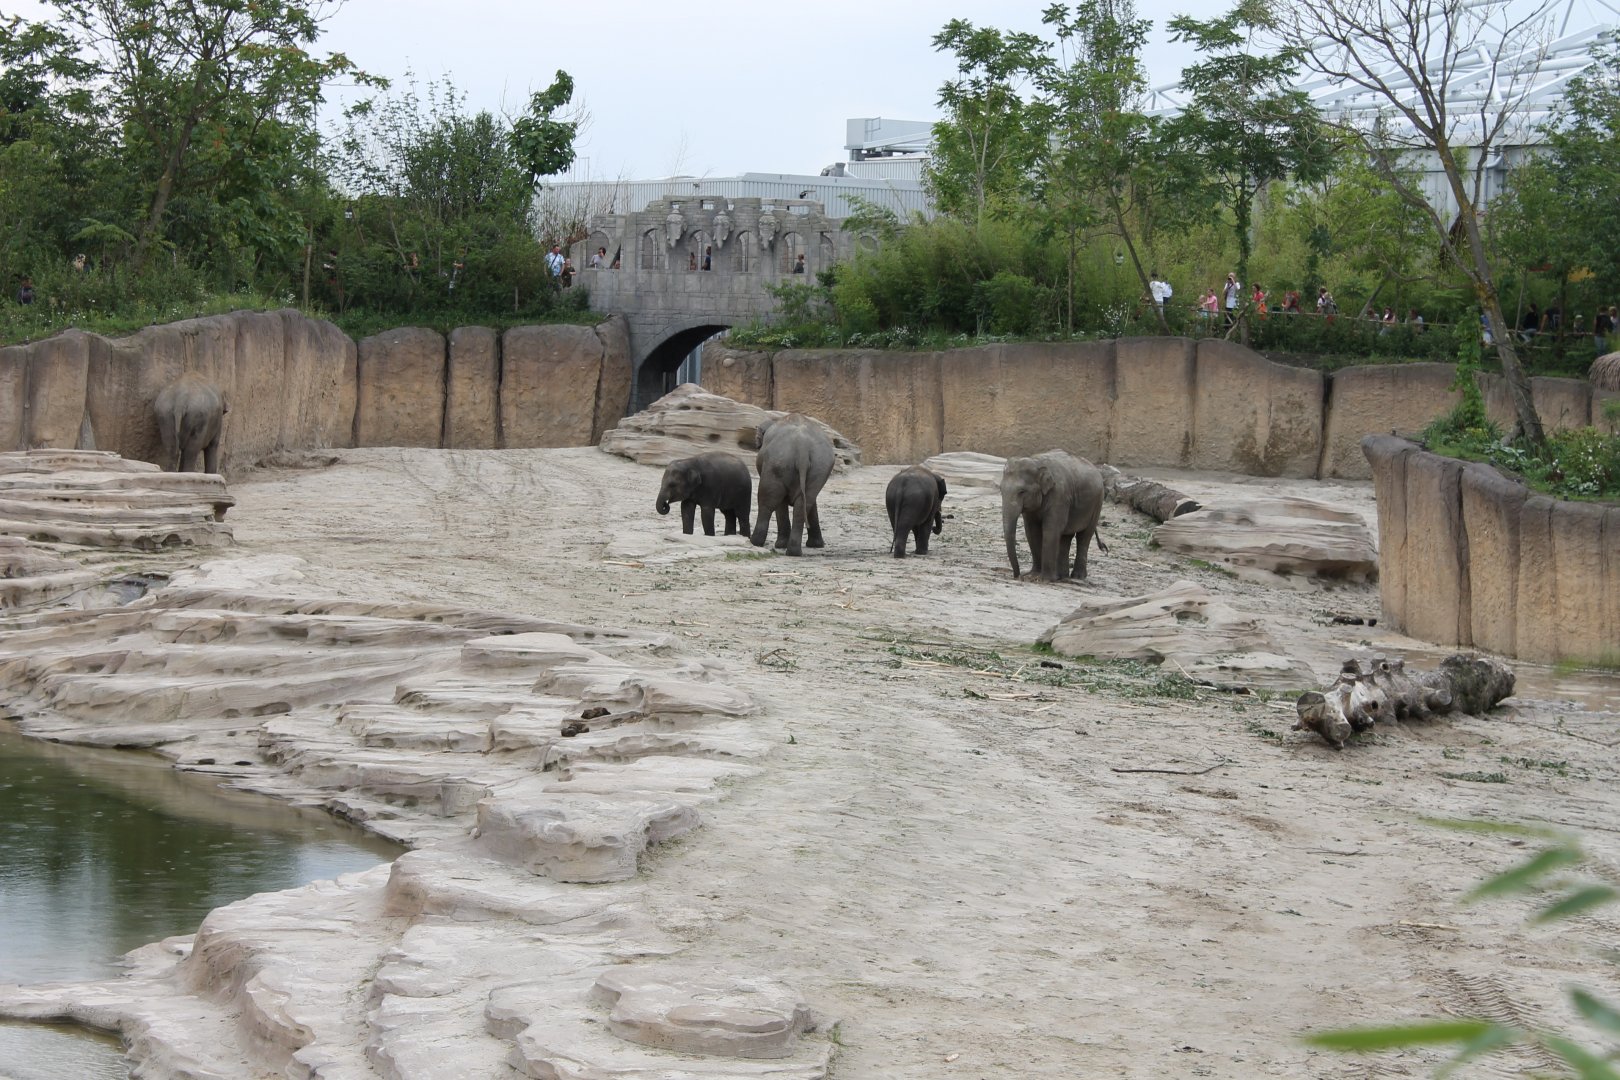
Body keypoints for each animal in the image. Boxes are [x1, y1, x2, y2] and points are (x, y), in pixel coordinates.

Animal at [749, 414, 834, 556]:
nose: (756, 444)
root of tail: (802, 446)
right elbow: (810, 503)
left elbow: (780, 503)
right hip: (820, 467)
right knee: (804, 504)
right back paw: (795, 551)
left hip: (777, 465)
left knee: (767, 502)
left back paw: (756, 542)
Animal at [1001, 450, 1107, 582]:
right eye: (1000, 490)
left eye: (1022, 492)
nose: (1017, 575)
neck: (1036, 462)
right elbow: (1032, 532)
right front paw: (1034, 575)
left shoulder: (1060, 496)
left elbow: (1051, 529)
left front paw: (1046, 579)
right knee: (1066, 538)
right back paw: (1062, 576)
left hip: (1097, 503)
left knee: (1084, 536)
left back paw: (1077, 577)